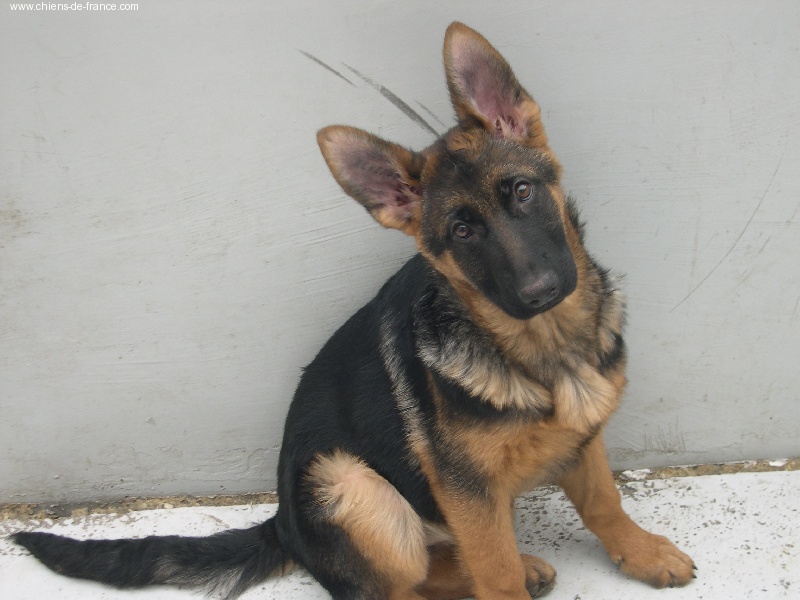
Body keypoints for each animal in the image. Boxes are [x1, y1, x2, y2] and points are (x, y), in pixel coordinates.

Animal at [15, 22, 696, 600]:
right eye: (463, 231)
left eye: (522, 192)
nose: (539, 292)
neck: (544, 349)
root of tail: (283, 523)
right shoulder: (468, 494)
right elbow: (493, 568)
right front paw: (524, 574)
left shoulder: (584, 438)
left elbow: (604, 502)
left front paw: (641, 553)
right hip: (352, 484)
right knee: (405, 583)